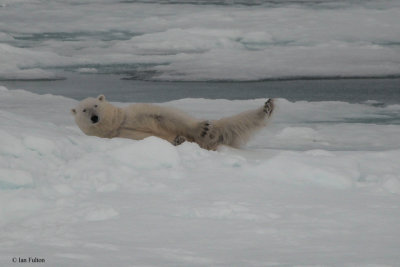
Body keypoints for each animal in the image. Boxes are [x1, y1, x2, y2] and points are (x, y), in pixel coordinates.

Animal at [70, 95, 274, 151]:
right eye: (84, 110)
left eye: (96, 105)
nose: (94, 117)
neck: (116, 124)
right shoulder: (119, 135)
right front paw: (177, 140)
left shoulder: (134, 114)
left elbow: (164, 115)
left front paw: (201, 128)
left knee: (230, 125)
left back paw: (267, 107)